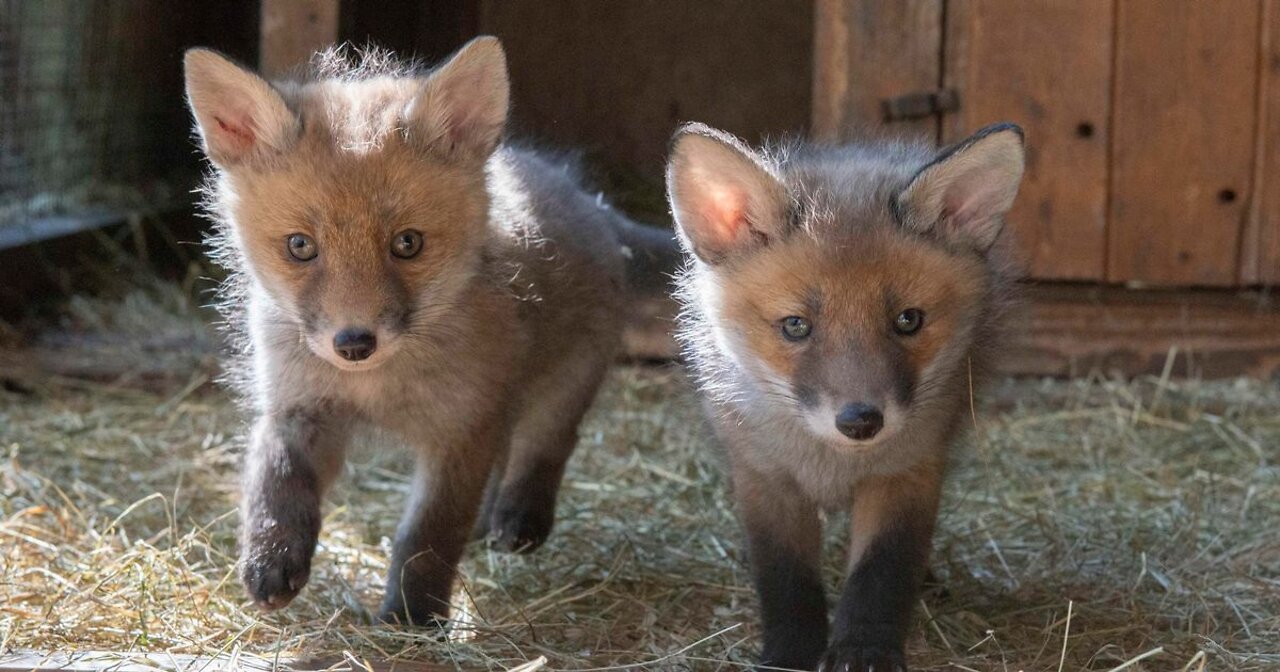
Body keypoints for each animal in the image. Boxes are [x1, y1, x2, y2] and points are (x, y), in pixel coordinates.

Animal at [184, 37, 675, 624]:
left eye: (408, 243)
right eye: (300, 246)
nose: (354, 343)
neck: (377, 387)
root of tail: (590, 202)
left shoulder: (459, 429)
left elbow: (428, 537)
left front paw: (412, 618)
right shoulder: (298, 406)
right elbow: (276, 483)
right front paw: (272, 559)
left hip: (565, 379)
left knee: (548, 442)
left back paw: (520, 519)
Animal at [665, 121, 1024, 670]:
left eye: (908, 320)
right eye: (795, 326)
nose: (860, 421)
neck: (831, 463)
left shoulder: (907, 473)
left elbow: (882, 574)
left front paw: (864, 650)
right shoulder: (766, 479)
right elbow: (786, 581)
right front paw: (789, 654)